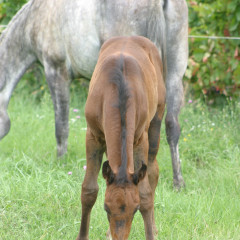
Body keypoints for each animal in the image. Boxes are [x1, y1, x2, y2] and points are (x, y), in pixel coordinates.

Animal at [0, 0, 188, 189]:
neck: (36, 19)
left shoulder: (56, 72)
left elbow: (61, 126)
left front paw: (61, 163)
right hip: (174, 73)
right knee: (171, 125)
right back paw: (177, 183)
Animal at [78, 35, 166, 240]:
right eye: (106, 208)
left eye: (135, 210)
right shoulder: (93, 136)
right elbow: (89, 190)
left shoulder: (140, 139)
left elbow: (145, 194)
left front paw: (151, 233)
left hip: (156, 123)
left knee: (153, 170)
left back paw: (154, 227)